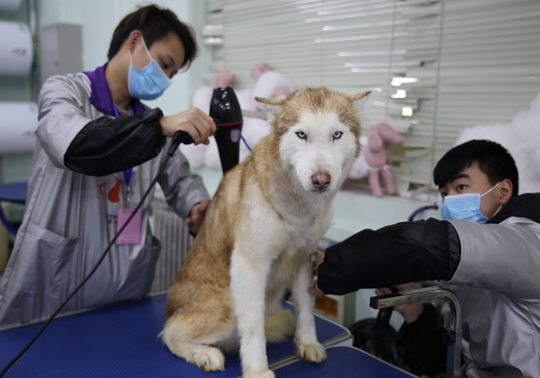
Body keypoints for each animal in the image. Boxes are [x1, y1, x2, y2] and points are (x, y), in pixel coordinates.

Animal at [161, 87, 372, 376]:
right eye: (301, 134)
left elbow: (306, 310)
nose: (321, 180)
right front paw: (257, 370)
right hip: (227, 309)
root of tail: (170, 310)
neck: (297, 212)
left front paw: (308, 343)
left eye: (337, 135)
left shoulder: (304, 259)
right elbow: (253, 329)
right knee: (170, 335)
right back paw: (204, 354)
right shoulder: (250, 265)